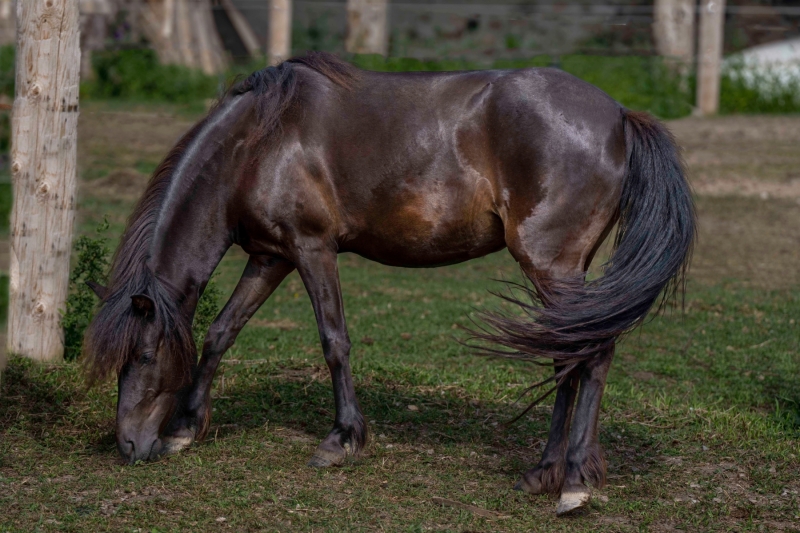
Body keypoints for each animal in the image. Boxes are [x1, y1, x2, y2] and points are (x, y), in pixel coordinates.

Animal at [84, 52, 695, 515]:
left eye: (142, 356)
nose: (129, 445)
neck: (257, 142)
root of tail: (618, 115)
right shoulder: (270, 256)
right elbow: (220, 333)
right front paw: (185, 428)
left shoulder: (312, 249)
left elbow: (334, 341)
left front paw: (341, 441)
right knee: (571, 355)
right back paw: (544, 473)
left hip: (553, 266)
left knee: (590, 354)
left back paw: (573, 484)